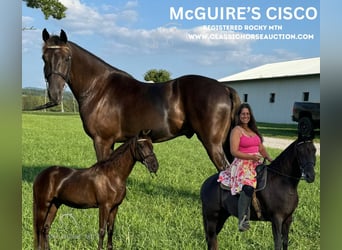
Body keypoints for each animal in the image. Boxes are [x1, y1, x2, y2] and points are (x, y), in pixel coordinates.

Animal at [34, 28, 240, 171]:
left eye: (67, 58)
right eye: (43, 57)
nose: (54, 93)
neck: (99, 88)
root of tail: (224, 88)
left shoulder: (102, 141)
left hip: (213, 144)